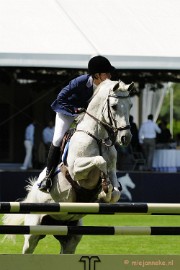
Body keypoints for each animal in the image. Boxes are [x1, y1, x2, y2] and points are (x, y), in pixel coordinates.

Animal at [1, 77, 134, 253]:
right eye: (114, 106)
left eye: (131, 105)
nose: (126, 137)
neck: (98, 137)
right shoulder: (76, 170)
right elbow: (100, 161)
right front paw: (104, 186)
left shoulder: (112, 171)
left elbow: (115, 192)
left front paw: (103, 192)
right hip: (33, 231)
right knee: (28, 247)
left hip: (71, 236)